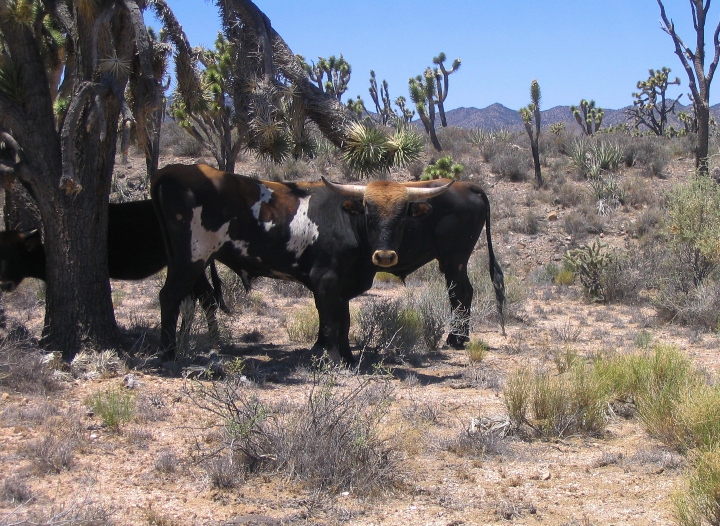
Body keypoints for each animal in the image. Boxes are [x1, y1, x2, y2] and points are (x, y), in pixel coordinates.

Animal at [151, 163, 505, 364]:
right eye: (368, 213)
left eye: (402, 215)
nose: (385, 256)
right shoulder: (328, 280)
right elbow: (332, 319)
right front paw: (328, 353)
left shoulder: (341, 282)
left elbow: (341, 320)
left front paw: (342, 354)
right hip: (190, 258)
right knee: (171, 296)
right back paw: (169, 353)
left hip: (454, 260)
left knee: (462, 293)